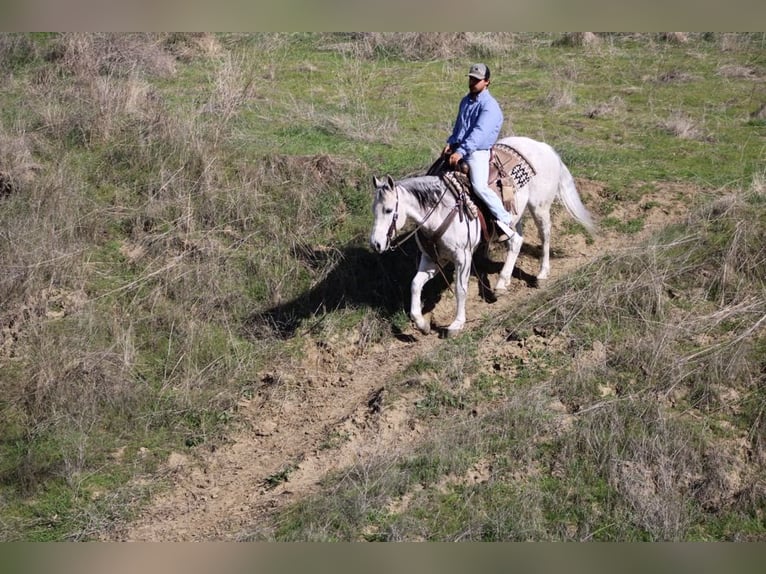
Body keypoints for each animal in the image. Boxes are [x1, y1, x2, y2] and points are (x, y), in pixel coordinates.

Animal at [372, 137, 600, 336]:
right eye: (374, 209)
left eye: (389, 210)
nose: (376, 244)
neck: (440, 209)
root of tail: (544, 147)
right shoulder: (432, 258)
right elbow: (415, 284)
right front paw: (421, 324)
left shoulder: (462, 257)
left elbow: (461, 289)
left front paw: (456, 324)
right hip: (513, 217)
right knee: (516, 241)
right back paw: (502, 283)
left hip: (539, 208)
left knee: (544, 236)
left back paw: (541, 274)